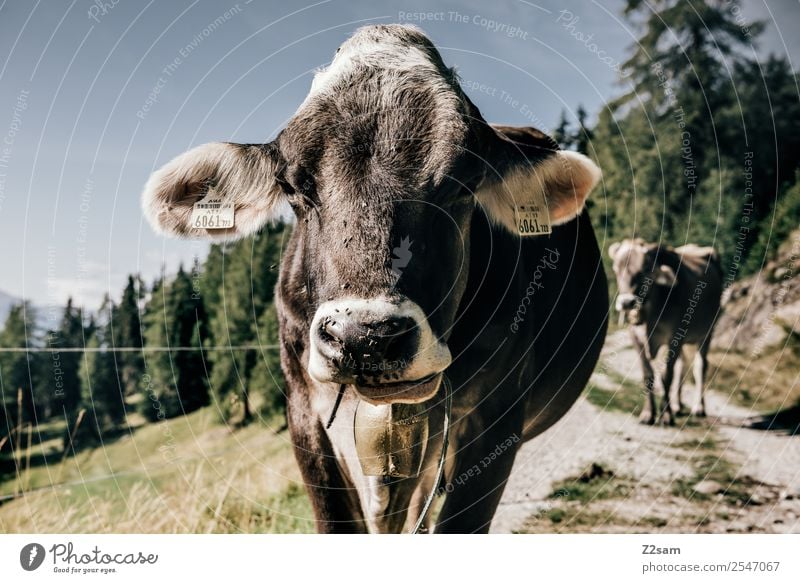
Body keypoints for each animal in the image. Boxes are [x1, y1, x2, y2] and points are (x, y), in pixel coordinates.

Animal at [608, 240, 724, 426]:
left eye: (645, 268)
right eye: (616, 268)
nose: (627, 302)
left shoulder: (673, 338)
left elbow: (666, 376)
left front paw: (666, 415)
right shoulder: (636, 338)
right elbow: (647, 375)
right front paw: (648, 414)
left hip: (707, 332)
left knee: (700, 367)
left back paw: (698, 408)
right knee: (681, 366)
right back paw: (677, 405)